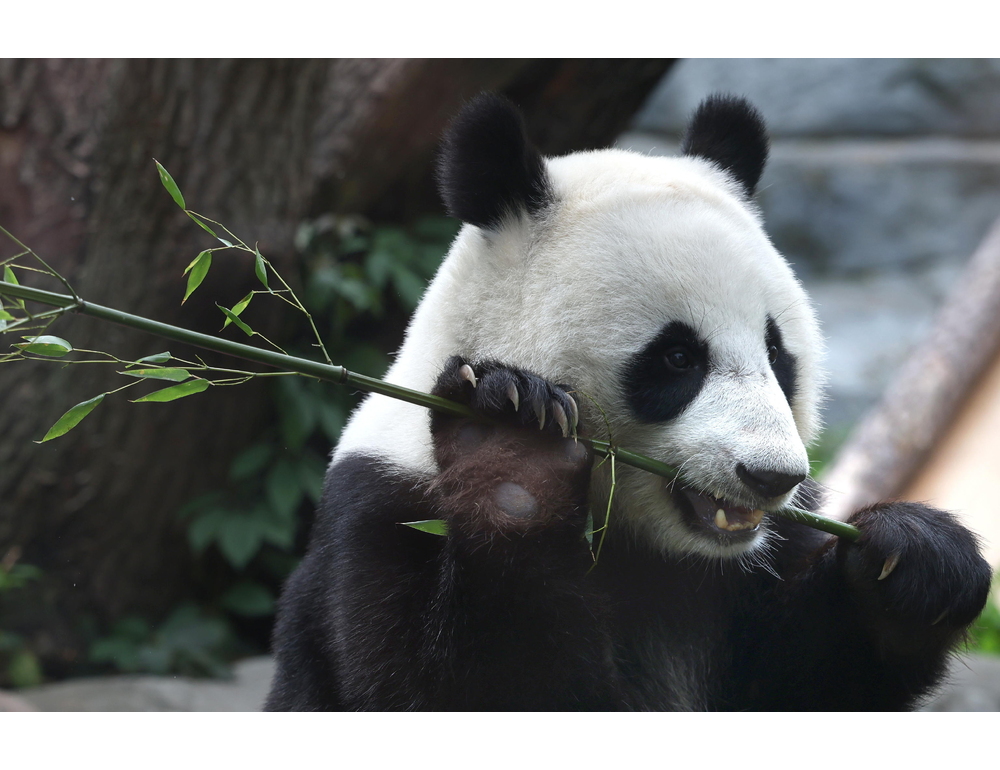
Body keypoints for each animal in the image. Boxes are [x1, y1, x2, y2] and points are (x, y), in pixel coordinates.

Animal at [265, 93, 992, 711]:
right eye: (678, 358)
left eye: (778, 354)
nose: (770, 477)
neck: (640, 541)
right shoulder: (384, 509)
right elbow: (444, 683)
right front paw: (513, 453)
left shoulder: (750, 569)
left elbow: (799, 679)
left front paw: (919, 563)